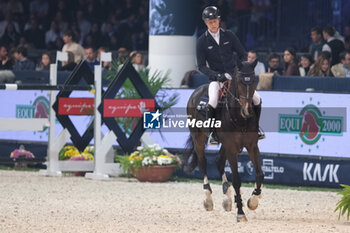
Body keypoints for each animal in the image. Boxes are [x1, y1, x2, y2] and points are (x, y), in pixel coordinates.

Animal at [185, 60, 264, 222]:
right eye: (239, 81)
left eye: (253, 80)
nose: (247, 111)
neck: (241, 119)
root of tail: (197, 91)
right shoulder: (232, 148)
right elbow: (237, 180)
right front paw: (240, 213)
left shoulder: (252, 146)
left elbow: (260, 174)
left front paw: (253, 201)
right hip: (198, 137)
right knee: (203, 163)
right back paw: (208, 199)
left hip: (224, 145)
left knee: (218, 161)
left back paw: (227, 198)